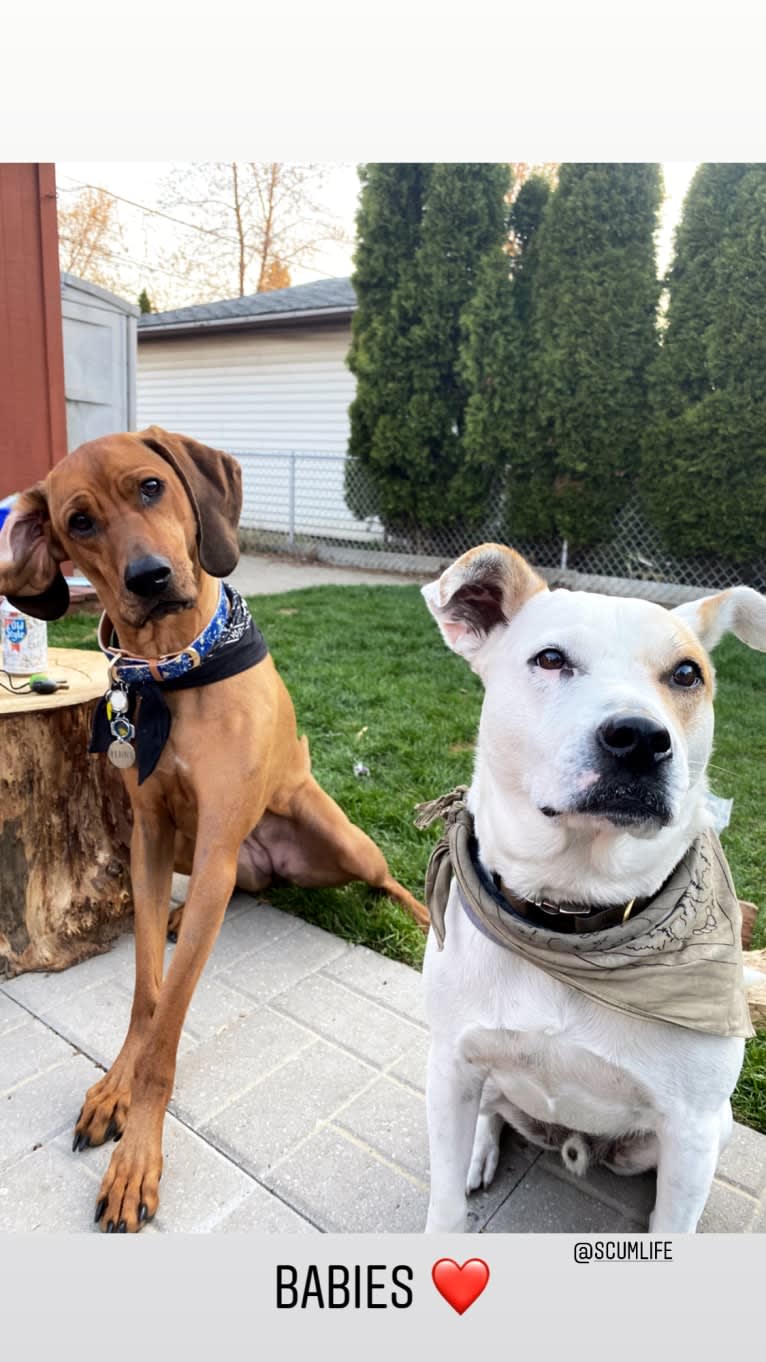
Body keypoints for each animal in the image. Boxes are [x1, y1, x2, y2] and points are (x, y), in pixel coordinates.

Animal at [419, 542, 757, 1236]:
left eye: (687, 674)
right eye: (550, 659)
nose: (640, 739)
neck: (568, 913)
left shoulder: (692, 1129)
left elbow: (674, 1224)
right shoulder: (450, 1065)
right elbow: (443, 1211)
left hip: (716, 1129)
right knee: (490, 1114)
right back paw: (478, 1153)